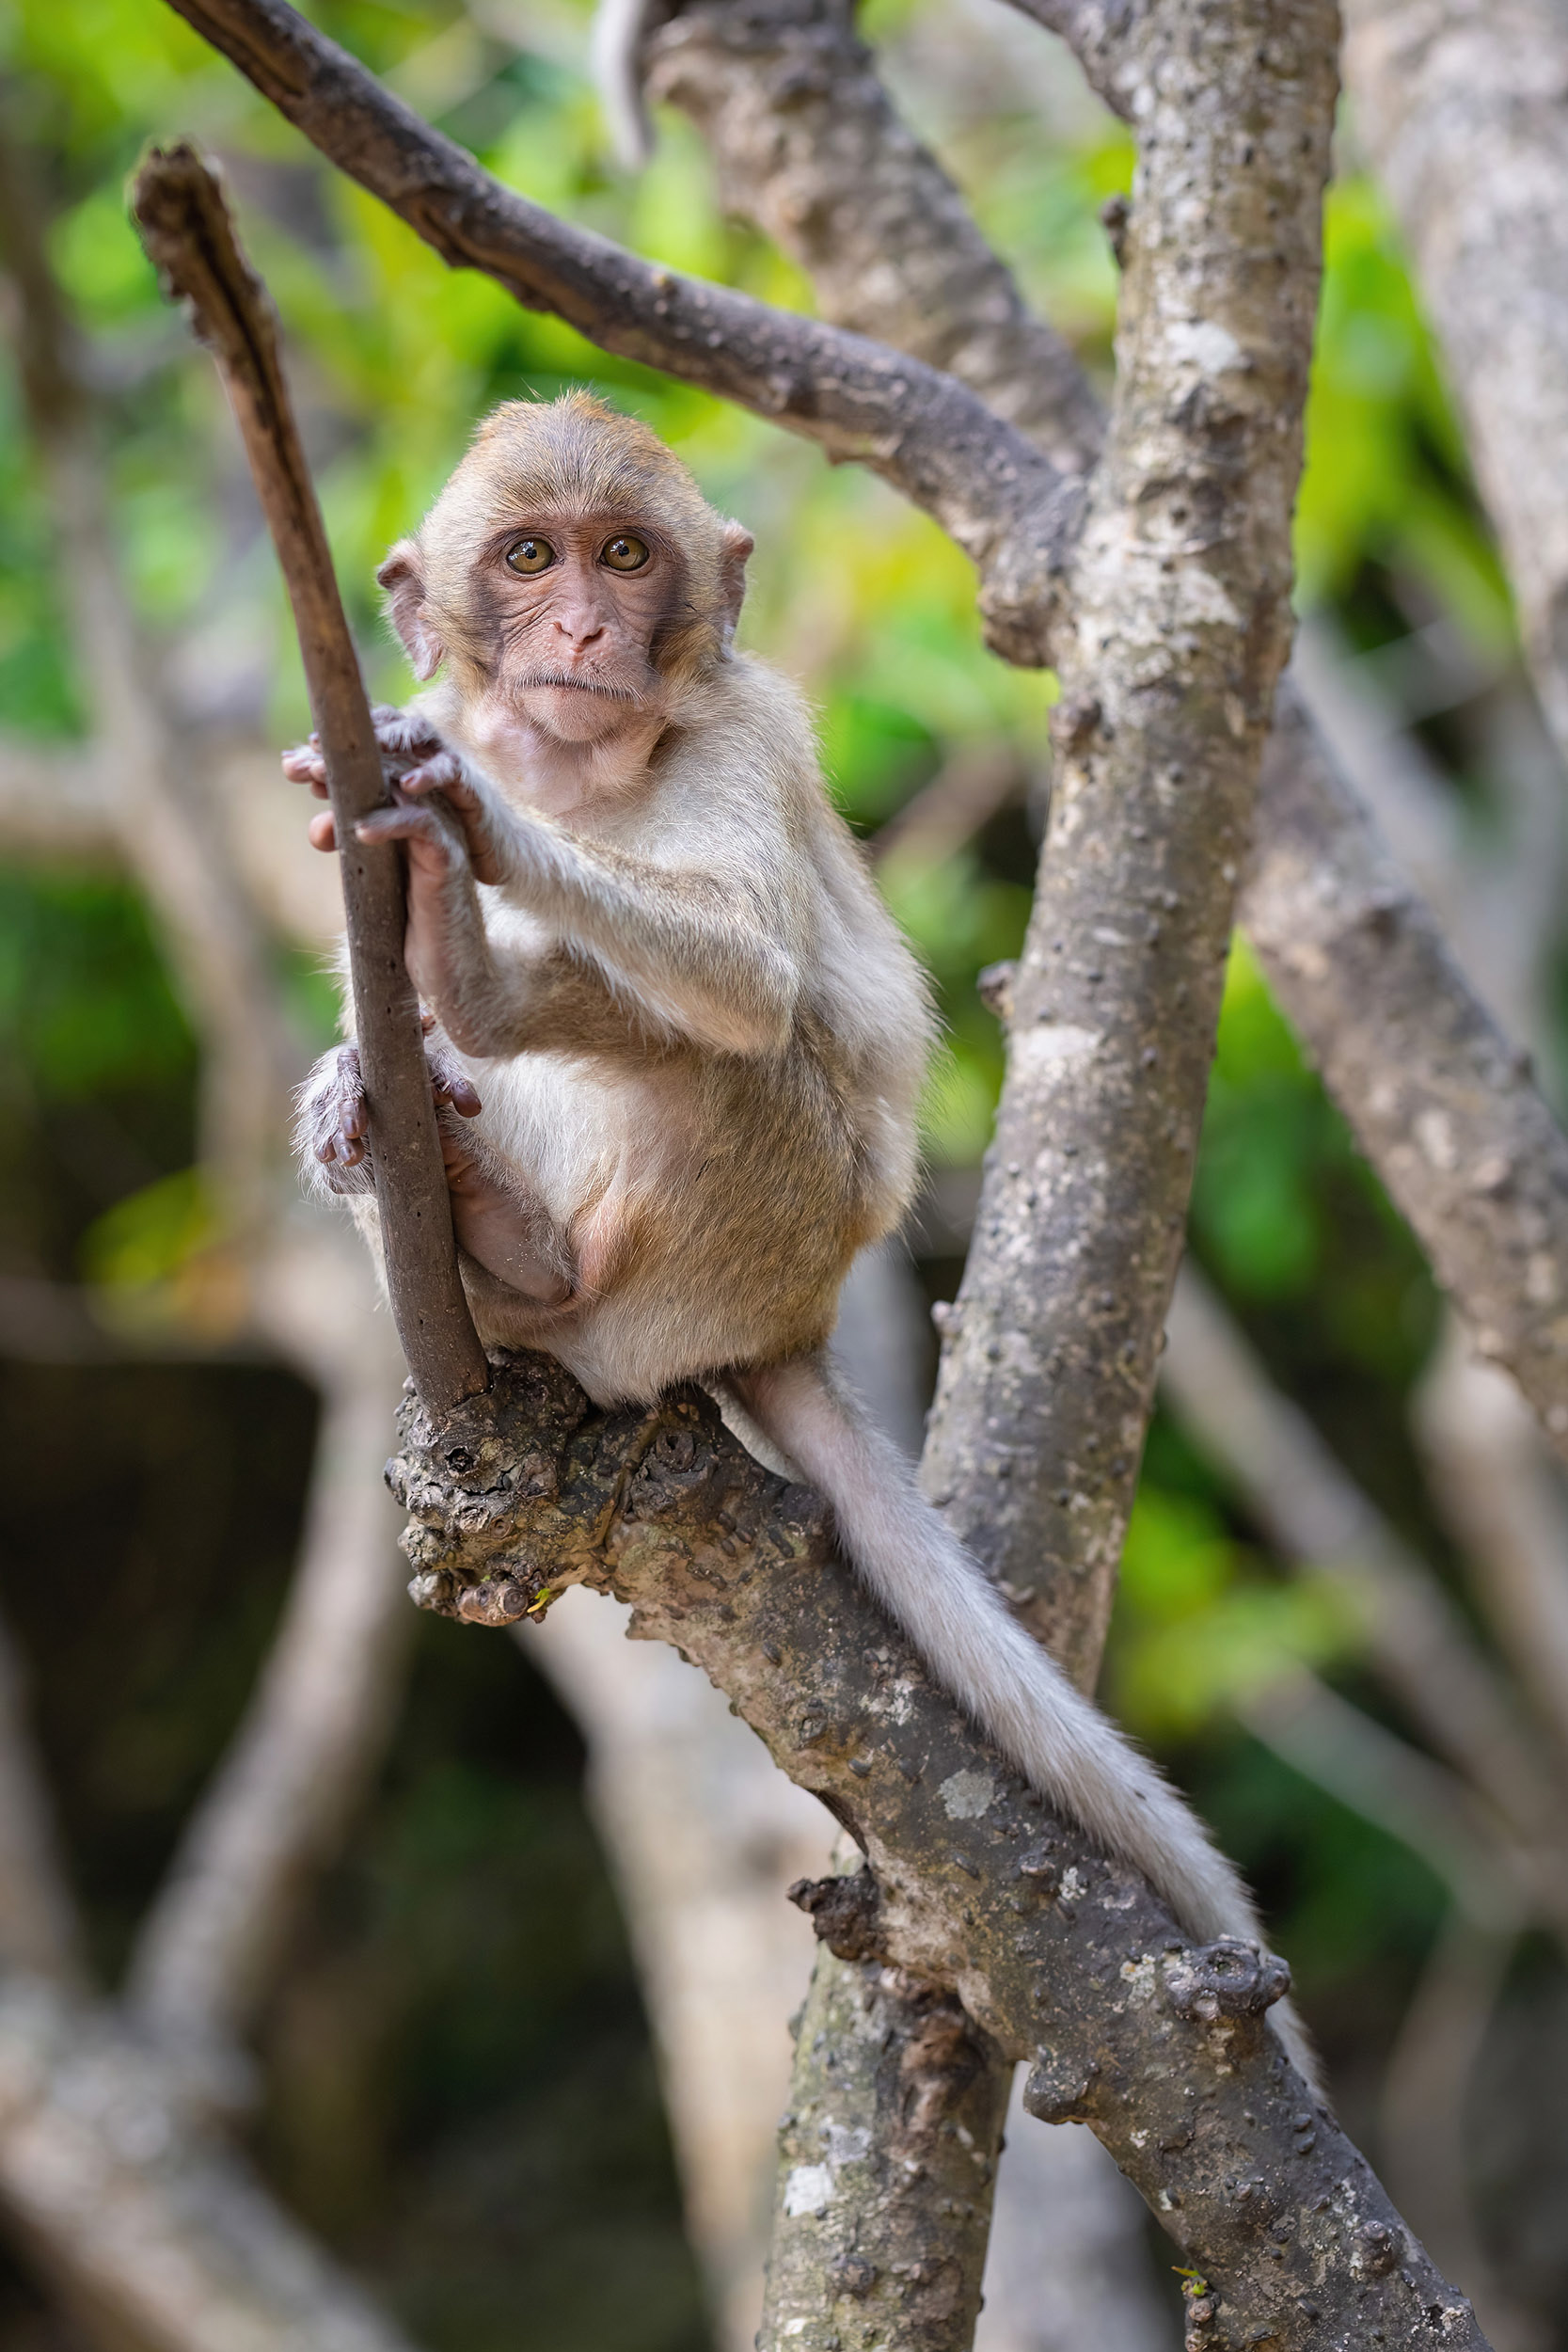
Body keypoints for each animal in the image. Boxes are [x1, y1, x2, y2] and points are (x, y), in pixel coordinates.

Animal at [289, 393, 1315, 2082]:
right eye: (528, 558)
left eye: (623, 555)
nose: (583, 628)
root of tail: (789, 1325)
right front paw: (350, 1077)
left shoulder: (744, 733)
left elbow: (748, 978)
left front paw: (469, 832)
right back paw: (439, 1171)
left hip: (752, 1234)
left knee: (732, 1048)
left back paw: (491, 1078)